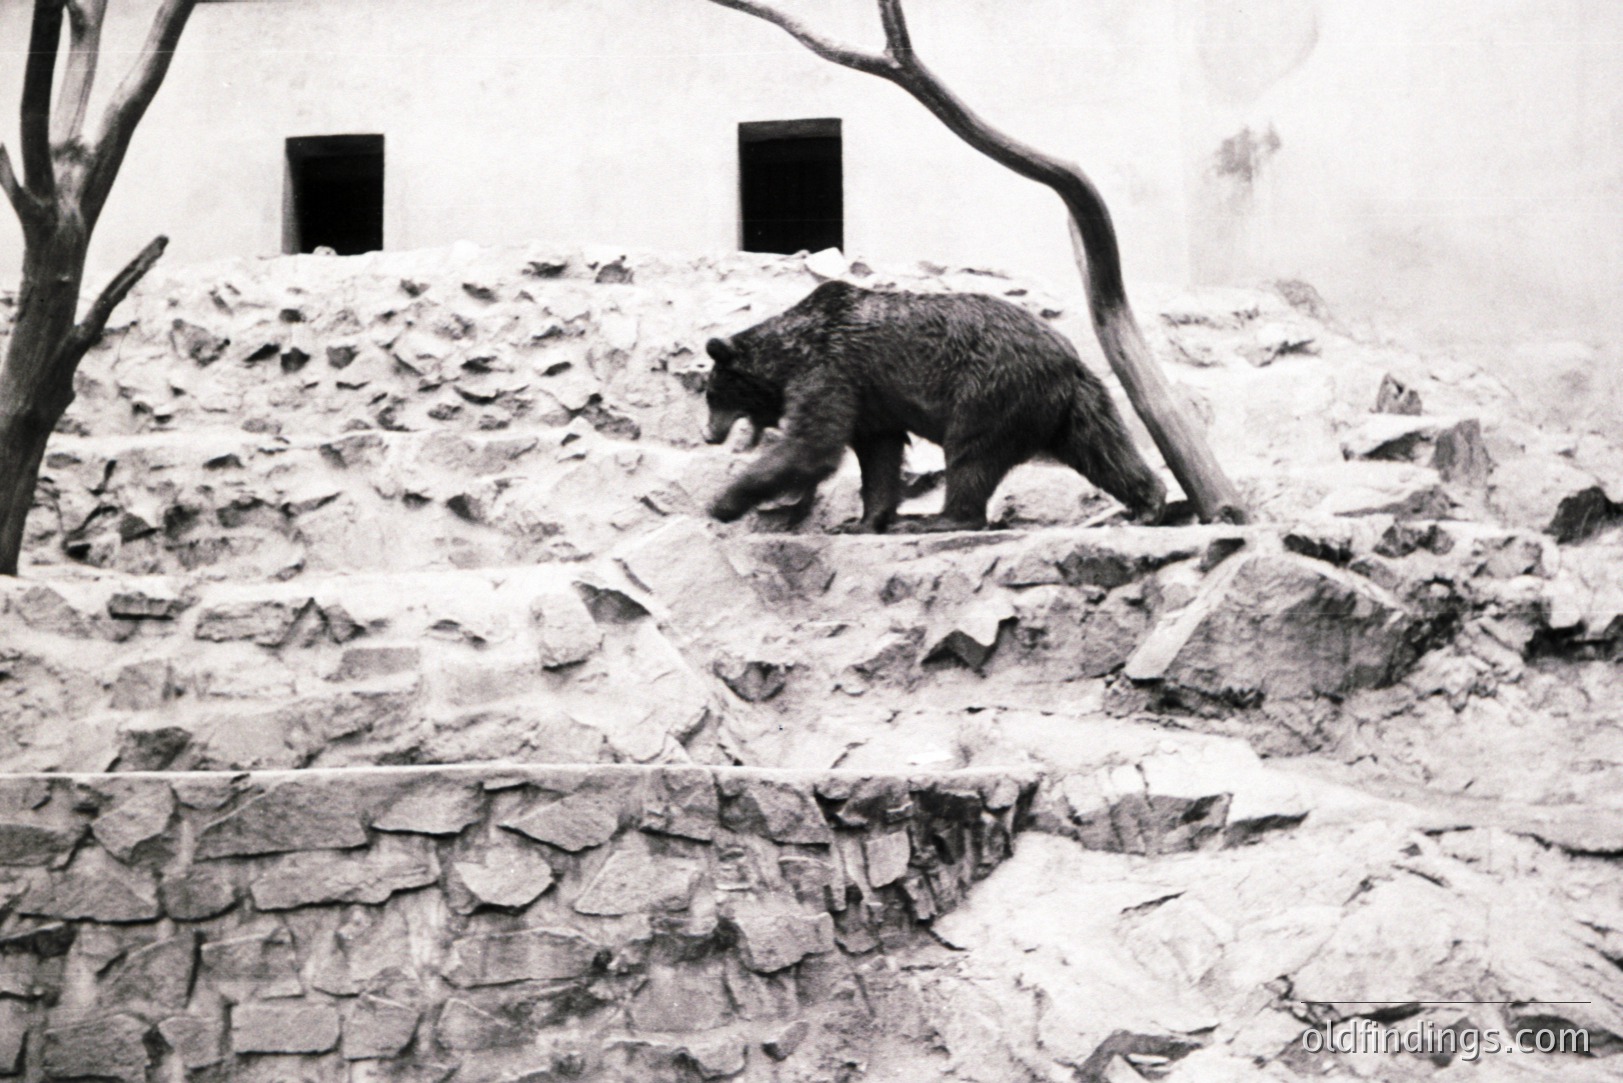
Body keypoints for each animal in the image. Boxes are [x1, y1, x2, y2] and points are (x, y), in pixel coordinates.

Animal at [701, 280, 1167, 533]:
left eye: (712, 396)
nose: (707, 433)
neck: (787, 355)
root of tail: (1067, 357)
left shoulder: (831, 369)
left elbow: (814, 446)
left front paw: (723, 503)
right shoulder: (870, 398)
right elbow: (879, 455)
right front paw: (864, 521)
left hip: (990, 387)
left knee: (970, 454)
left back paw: (940, 518)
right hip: (1072, 402)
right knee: (1102, 448)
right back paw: (1148, 504)